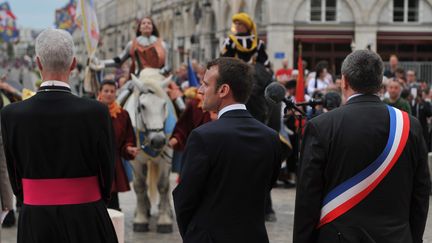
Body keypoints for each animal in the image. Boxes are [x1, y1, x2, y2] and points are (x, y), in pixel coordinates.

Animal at [121, 68, 176, 234]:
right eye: (142, 107)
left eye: (164, 105)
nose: (158, 140)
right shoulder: (135, 160)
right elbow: (139, 185)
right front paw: (140, 220)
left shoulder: (166, 157)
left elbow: (163, 186)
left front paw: (164, 221)